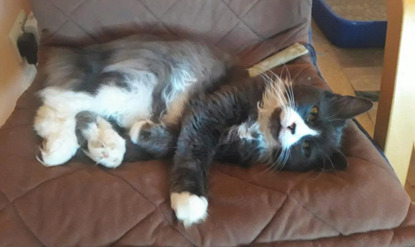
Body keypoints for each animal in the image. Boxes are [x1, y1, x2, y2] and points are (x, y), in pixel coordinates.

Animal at [34, 35, 376, 228]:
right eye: (314, 113)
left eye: (306, 149)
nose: (292, 127)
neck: (257, 121)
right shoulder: (209, 109)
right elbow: (191, 154)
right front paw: (189, 199)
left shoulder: (209, 134)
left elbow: (173, 144)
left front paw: (140, 133)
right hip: (130, 87)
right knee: (60, 99)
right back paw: (57, 144)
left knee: (86, 114)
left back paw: (105, 146)